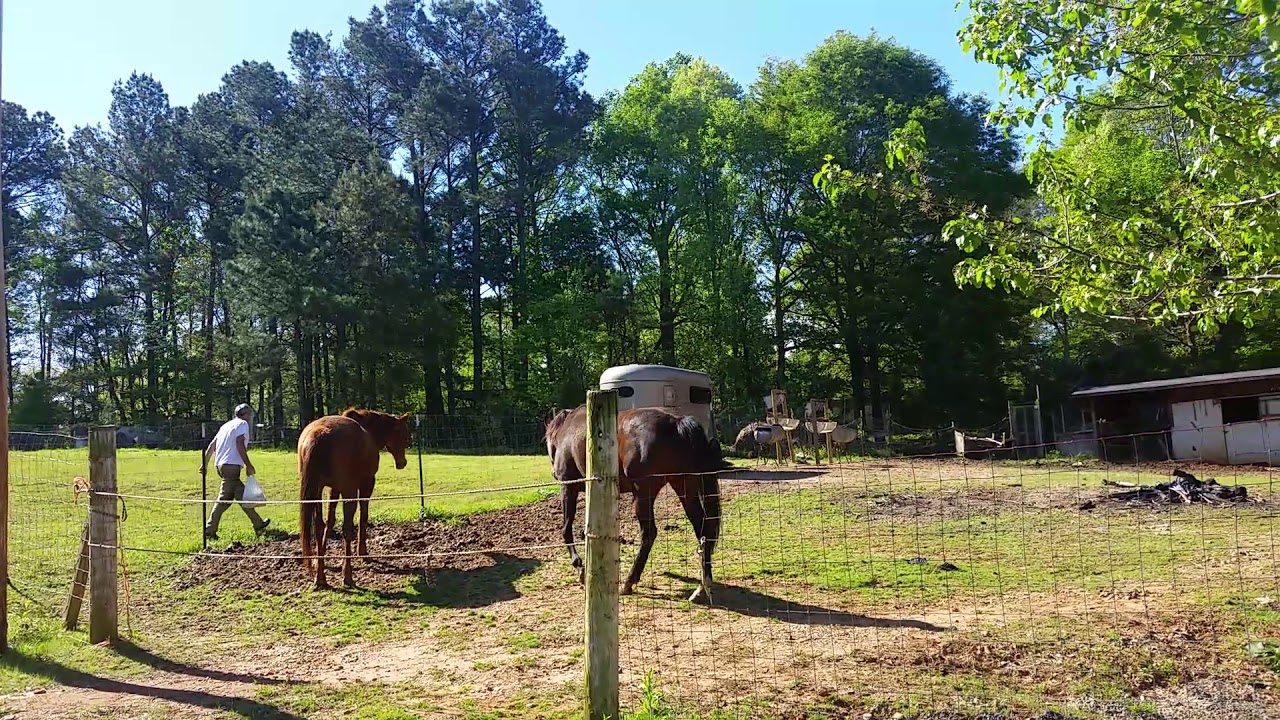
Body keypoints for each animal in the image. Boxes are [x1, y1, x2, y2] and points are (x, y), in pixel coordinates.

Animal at [298, 407, 412, 589]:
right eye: (402, 433)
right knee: (347, 528)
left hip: (316, 490)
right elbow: (363, 516)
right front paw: (362, 551)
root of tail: (319, 433)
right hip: (348, 491)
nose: (402, 462)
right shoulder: (366, 484)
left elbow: (330, 521)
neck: (369, 432)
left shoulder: (333, 489)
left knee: (319, 526)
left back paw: (320, 577)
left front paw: (318, 561)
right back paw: (347, 576)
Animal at [544, 405, 728, 604]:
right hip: (685, 488)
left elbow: (566, 528)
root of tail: (677, 423)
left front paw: (580, 567)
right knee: (702, 530)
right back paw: (702, 587)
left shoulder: (568, 487)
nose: (553, 472)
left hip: (643, 496)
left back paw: (629, 582)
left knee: (649, 533)